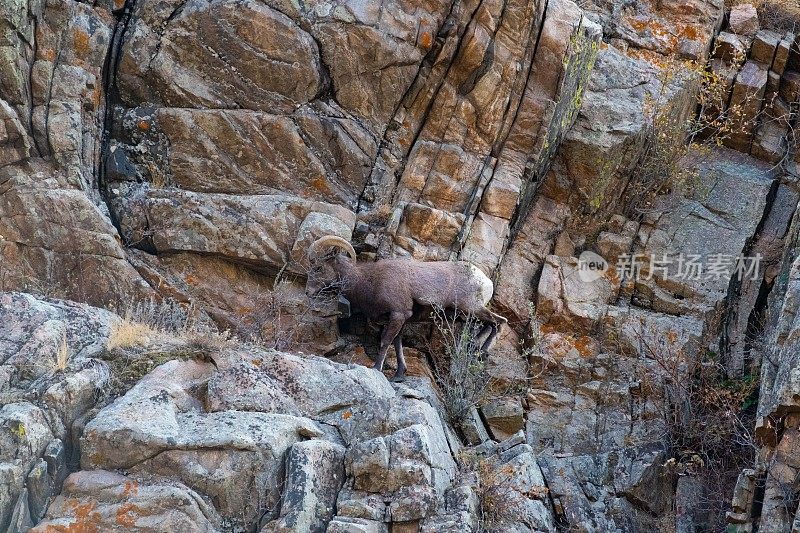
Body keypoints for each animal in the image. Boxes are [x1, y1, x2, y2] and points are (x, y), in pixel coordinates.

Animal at [306, 235, 506, 380]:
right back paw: (475, 349)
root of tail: (485, 281)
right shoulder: (400, 319)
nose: (308, 292)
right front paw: (399, 374)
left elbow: (385, 341)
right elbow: (397, 344)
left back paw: (481, 351)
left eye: (318, 267)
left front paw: (376, 368)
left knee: (499, 321)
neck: (367, 281)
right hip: (467, 314)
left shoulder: (398, 314)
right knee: (490, 324)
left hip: (471, 308)